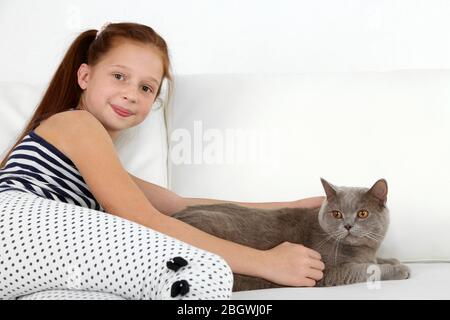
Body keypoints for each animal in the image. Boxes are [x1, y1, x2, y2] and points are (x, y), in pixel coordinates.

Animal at [173, 179, 412, 292]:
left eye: (363, 213)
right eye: (337, 213)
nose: (348, 225)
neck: (362, 250)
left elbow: (375, 261)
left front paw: (392, 260)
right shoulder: (330, 272)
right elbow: (368, 269)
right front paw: (399, 269)